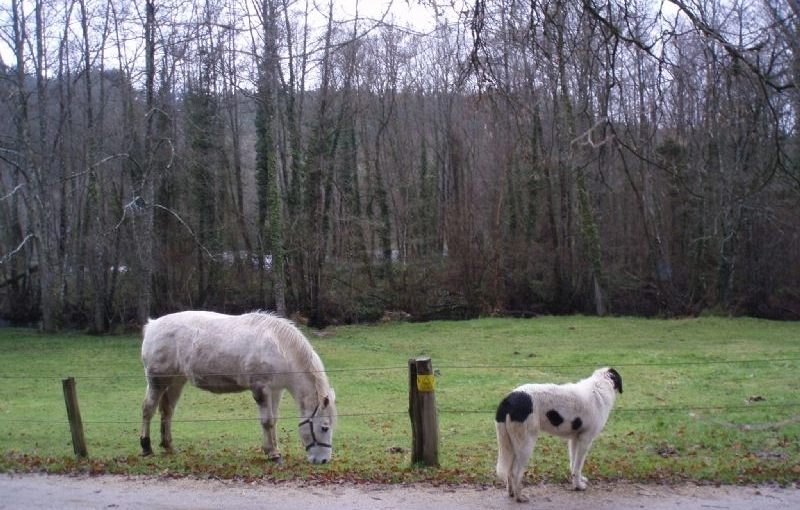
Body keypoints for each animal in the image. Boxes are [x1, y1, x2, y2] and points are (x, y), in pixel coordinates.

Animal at [139, 308, 336, 464]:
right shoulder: (261, 389)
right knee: (148, 409)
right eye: (324, 427)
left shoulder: (275, 390)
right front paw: (272, 453)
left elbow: (274, 420)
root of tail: (152, 325)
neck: (278, 347)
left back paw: (168, 446)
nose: (323, 460)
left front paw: (274, 450)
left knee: (167, 411)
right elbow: (267, 421)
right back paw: (146, 446)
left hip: (176, 381)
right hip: (158, 381)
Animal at [494, 366, 624, 502]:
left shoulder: (575, 439)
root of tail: (509, 399)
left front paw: (578, 480)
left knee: (509, 470)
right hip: (526, 444)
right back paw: (520, 497)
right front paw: (578, 486)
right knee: (515, 472)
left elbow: (573, 463)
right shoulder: (585, 440)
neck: (599, 386)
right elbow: (578, 466)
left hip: (511, 445)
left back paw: (511, 492)